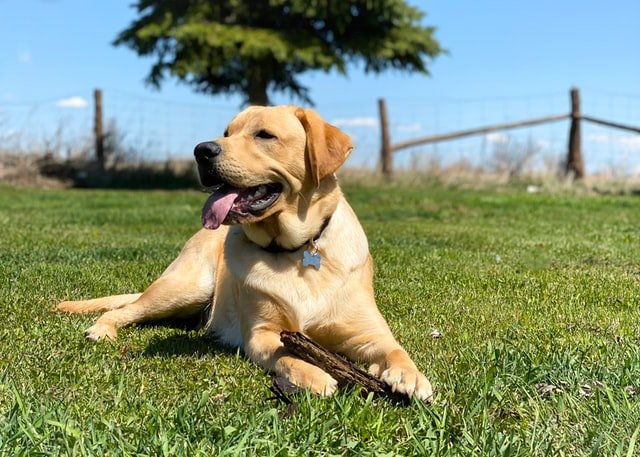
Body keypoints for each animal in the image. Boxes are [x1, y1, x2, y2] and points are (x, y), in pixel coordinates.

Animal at [56, 106, 436, 400]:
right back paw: (102, 329)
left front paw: (411, 376)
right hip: (186, 288)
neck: (296, 250)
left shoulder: (368, 332)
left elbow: (396, 349)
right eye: (227, 132)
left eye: (264, 135)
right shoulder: (263, 334)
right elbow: (287, 356)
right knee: (124, 309)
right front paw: (315, 375)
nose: (201, 150)